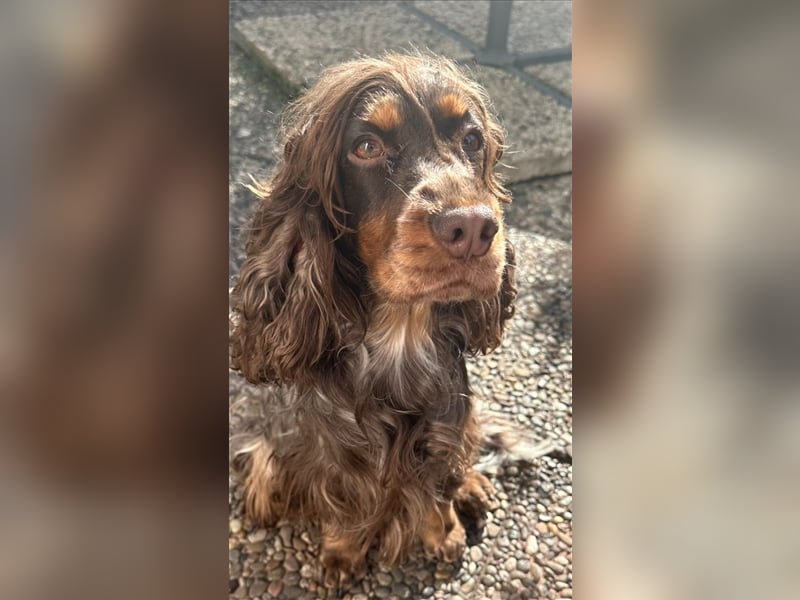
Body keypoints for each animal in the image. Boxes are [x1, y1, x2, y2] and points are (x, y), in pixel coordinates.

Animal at [231, 54, 520, 588]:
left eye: (472, 140)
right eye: (366, 146)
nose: (473, 228)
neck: (401, 335)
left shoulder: (443, 429)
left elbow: (440, 489)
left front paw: (445, 534)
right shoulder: (333, 453)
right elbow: (348, 506)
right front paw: (341, 554)